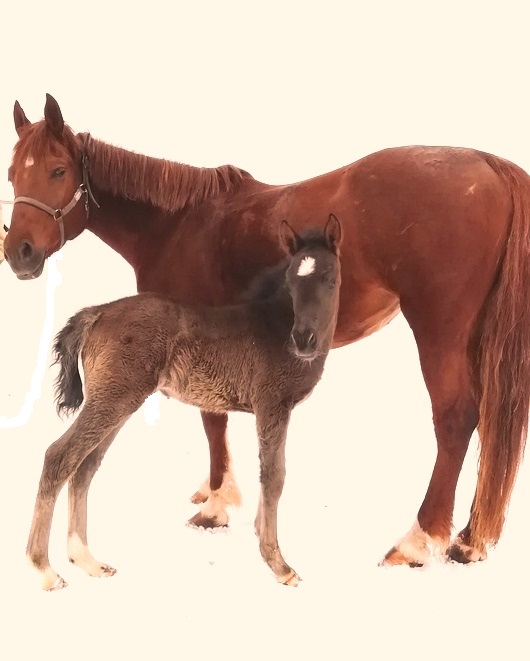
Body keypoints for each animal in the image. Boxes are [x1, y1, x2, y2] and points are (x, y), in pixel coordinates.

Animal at [26, 216, 342, 590]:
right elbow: (274, 476)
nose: (304, 339)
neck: (278, 328)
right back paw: (45, 570)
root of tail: (97, 314)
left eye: (330, 279)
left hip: (117, 400)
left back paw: (88, 561)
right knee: (60, 457)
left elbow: (270, 476)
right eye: (291, 281)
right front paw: (279, 565)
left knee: (84, 468)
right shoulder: (271, 405)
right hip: (113, 399)